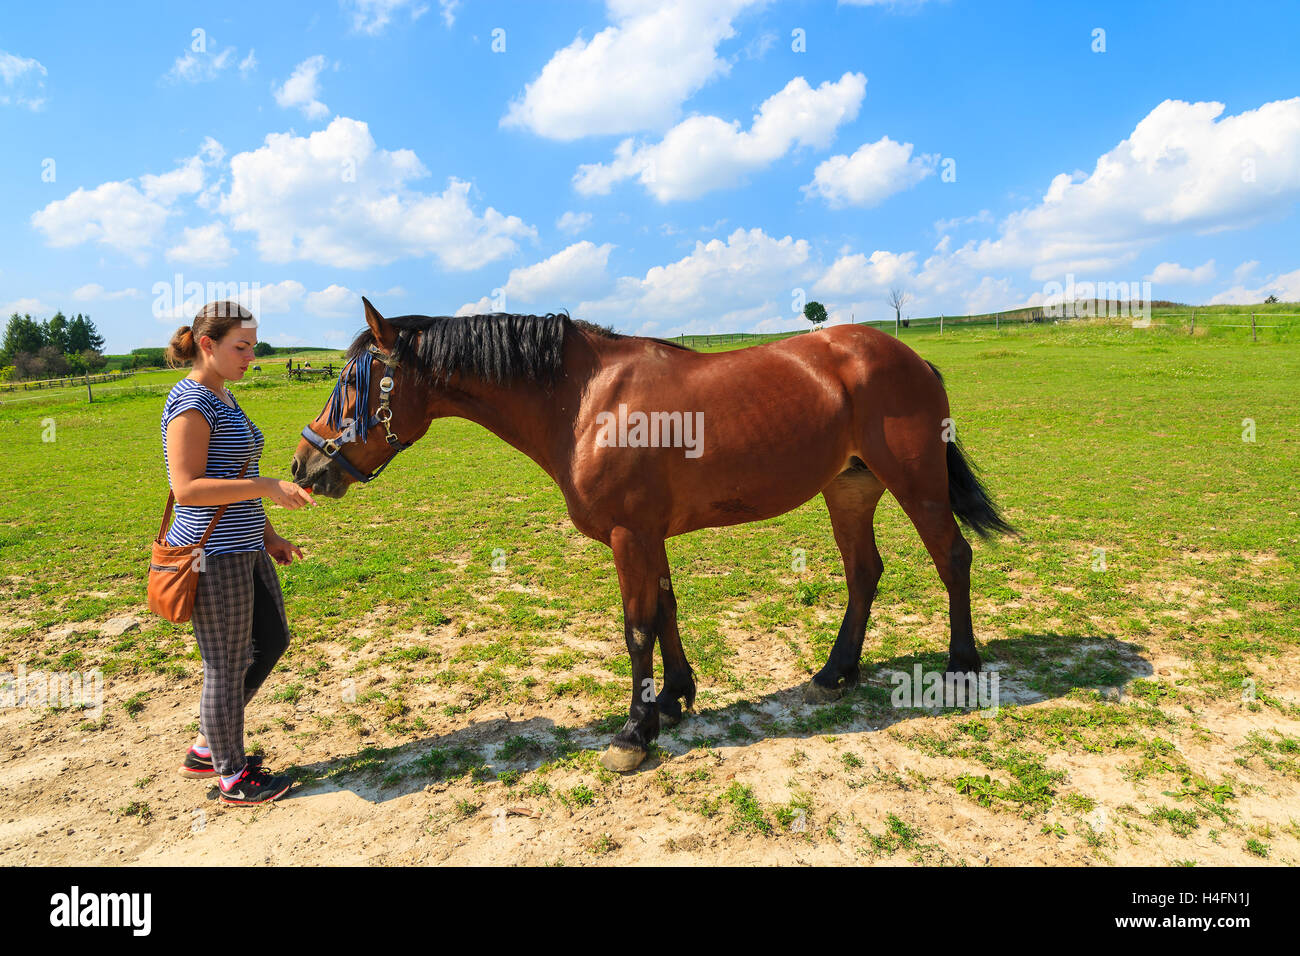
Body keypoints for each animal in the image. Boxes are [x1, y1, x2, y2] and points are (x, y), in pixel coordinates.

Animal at [292, 297, 1013, 770]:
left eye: (354, 384)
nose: (304, 466)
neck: (586, 402)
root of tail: (911, 355)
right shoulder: (649, 535)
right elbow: (665, 612)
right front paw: (672, 698)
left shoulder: (630, 534)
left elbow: (637, 626)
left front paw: (633, 734)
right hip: (851, 489)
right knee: (864, 572)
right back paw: (836, 672)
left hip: (916, 484)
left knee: (952, 557)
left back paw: (960, 665)